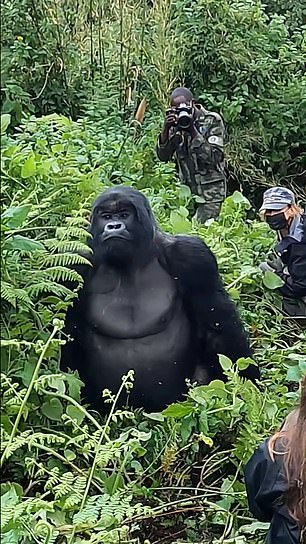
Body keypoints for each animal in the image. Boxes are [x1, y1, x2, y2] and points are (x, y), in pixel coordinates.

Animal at [61, 187, 258, 412]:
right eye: (106, 216)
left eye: (124, 214)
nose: (114, 226)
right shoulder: (75, 262)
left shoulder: (192, 256)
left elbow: (218, 326)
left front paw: (248, 389)